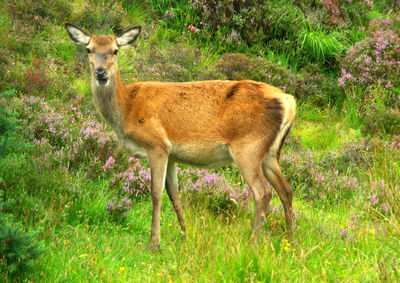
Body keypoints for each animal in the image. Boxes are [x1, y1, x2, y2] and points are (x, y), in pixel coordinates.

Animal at [65, 23, 296, 252]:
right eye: (89, 49)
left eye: (115, 50)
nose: (100, 73)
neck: (126, 109)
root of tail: (289, 102)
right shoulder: (172, 154)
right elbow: (174, 193)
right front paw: (185, 235)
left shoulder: (157, 145)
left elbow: (156, 193)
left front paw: (153, 243)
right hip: (270, 152)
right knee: (286, 190)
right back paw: (292, 243)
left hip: (248, 147)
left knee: (263, 192)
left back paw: (253, 244)